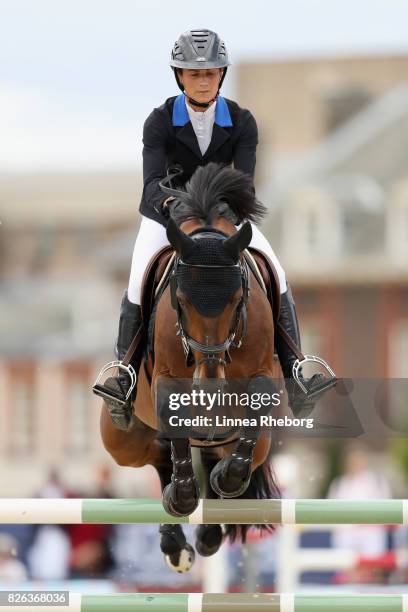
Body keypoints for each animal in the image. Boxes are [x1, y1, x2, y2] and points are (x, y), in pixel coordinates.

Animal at [100, 163, 282, 572]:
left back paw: (210, 521)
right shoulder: (167, 382)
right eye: (180, 299)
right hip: (121, 440)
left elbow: (253, 412)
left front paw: (224, 480)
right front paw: (182, 496)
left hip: (257, 443)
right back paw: (175, 540)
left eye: (237, 298)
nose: (209, 390)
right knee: (157, 452)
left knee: (226, 459)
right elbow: (176, 429)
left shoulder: (264, 376)